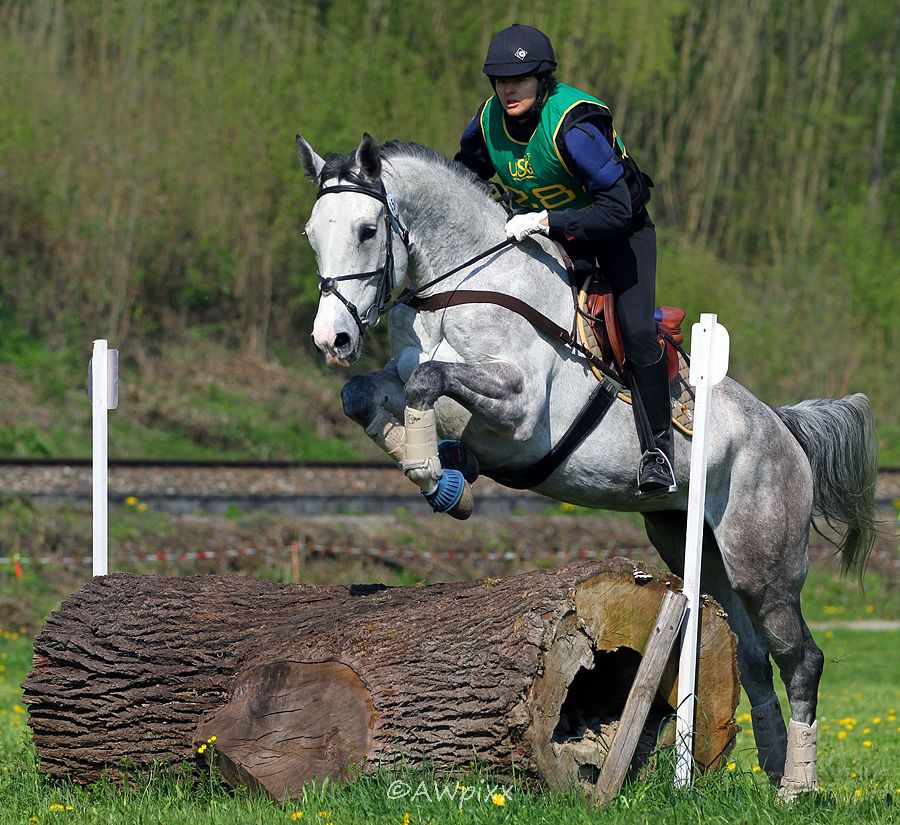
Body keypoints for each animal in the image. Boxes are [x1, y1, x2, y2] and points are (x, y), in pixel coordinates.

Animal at [298, 134, 880, 800]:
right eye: (312, 233)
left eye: (368, 230)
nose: (333, 339)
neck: (458, 289)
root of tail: (784, 430)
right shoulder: (405, 379)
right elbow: (366, 395)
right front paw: (444, 473)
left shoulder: (519, 408)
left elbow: (430, 380)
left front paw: (436, 474)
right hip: (699, 552)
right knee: (755, 658)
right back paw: (775, 769)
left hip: (765, 563)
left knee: (800, 658)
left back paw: (796, 786)